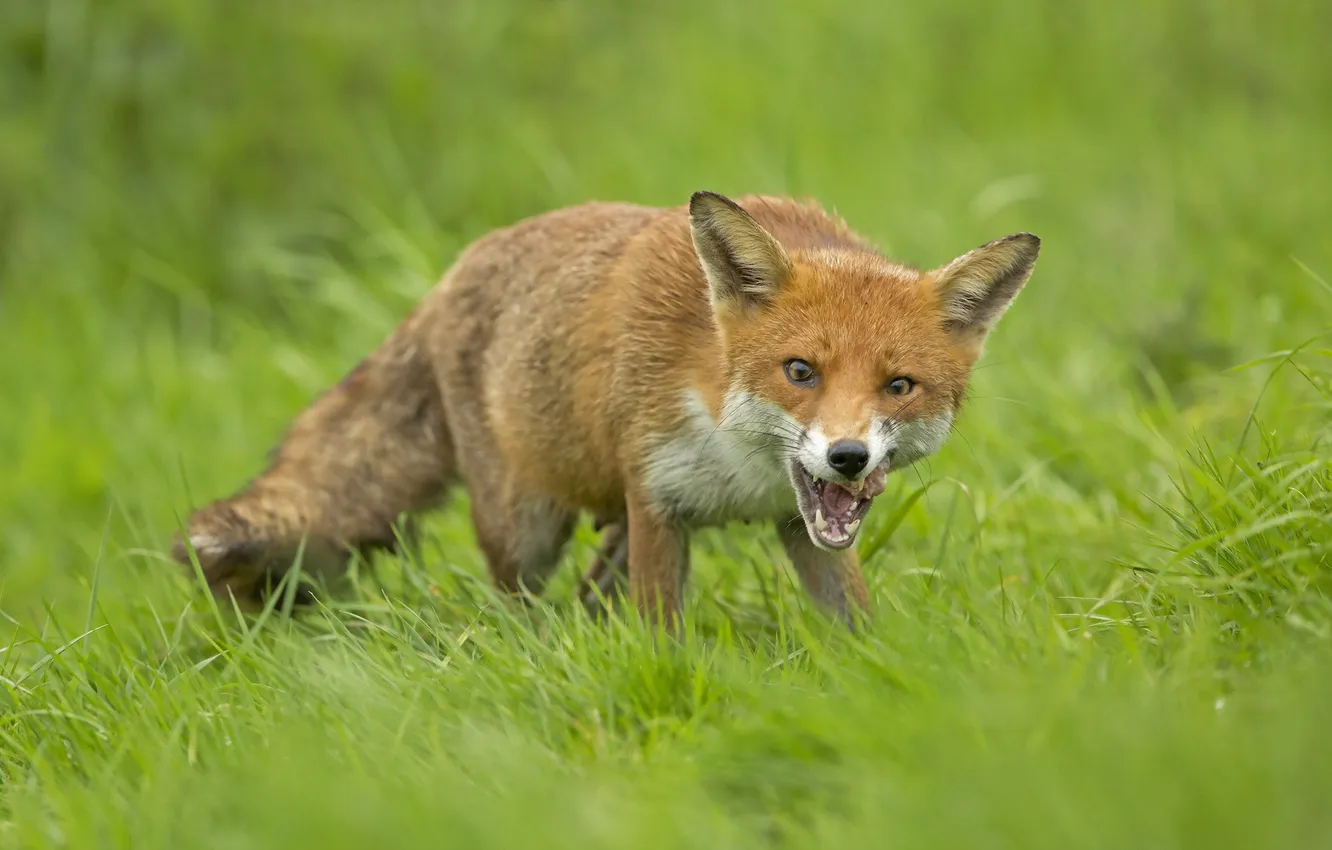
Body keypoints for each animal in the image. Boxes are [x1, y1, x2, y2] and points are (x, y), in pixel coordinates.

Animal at [171, 190, 1040, 627]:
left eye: (899, 386)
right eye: (801, 371)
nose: (848, 458)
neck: (739, 459)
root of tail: (451, 272)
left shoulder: (804, 528)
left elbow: (856, 627)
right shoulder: (658, 505)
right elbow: (662, 640)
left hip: (605, 522)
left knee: (592, 590)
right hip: (526, 524)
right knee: (518, 607)